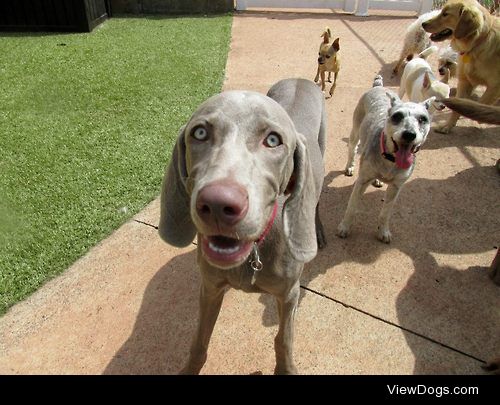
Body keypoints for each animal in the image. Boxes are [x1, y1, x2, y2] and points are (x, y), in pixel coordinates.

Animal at [158, 77, 326, 374]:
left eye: (273, 140)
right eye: (199, 133)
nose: (217, 205)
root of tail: (300, 79)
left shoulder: (289, 294)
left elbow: (283, 339)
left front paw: (286, 369)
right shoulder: (210, 288)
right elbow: (199, 340)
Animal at [338, 76, 436, 243]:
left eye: (423, 119)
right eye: (397, 116)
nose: (409, 134)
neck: (390, 160)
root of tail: (379, 86)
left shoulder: (396, 187)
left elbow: (386, 213)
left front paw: (383, 232)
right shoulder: (362, 181)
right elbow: (351, 207)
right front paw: (344, 227)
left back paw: (378, 180)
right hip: (356, 131)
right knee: (352, 148)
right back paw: (350, 166)